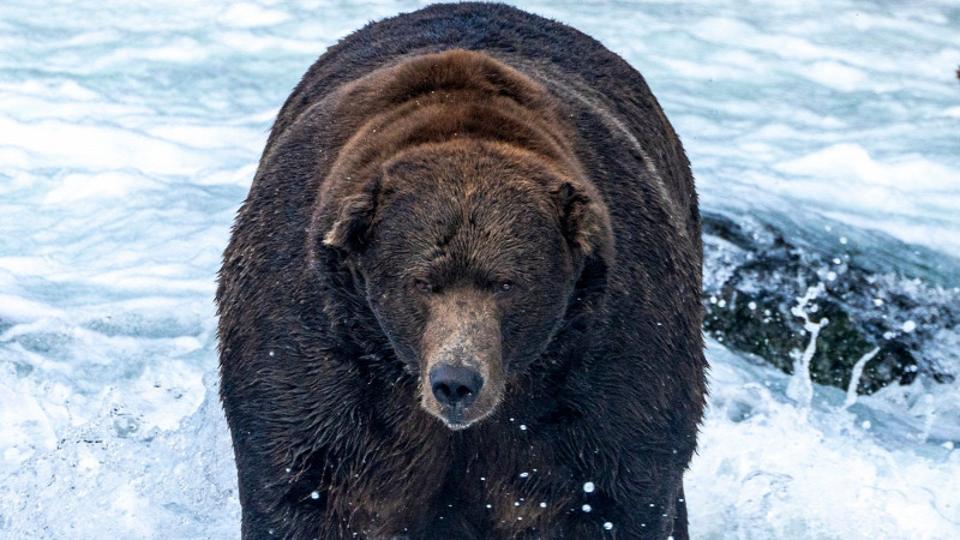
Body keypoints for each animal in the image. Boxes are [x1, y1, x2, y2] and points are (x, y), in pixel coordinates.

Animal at [218, 2, 704, 536]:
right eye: (421, 282)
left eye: (507, 283)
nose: (456, 381)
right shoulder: (322, 338)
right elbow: (309, 482)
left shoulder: (607, 346)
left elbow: (609, 490)